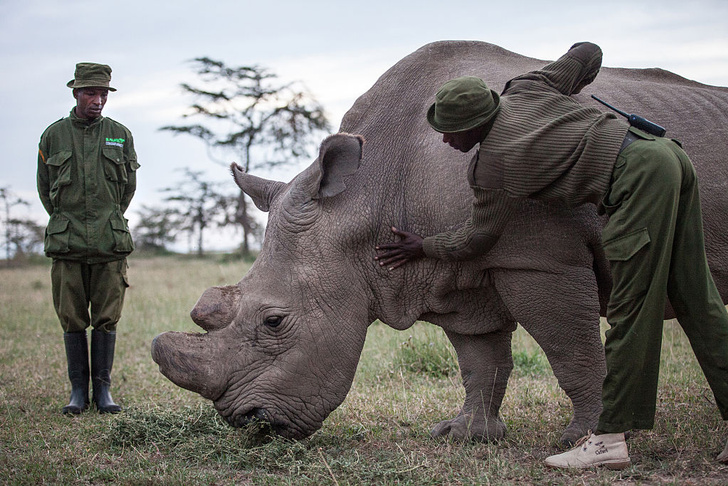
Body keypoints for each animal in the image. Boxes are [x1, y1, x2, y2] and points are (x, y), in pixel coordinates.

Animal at [151, 40, 728, 444]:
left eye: (273, 322)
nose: (250, 425)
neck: (371, 192)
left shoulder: (538, 259)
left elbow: (569, 347)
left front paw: (584, 438)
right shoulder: (457, 277)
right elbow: (479, 359)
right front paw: (466, 437)